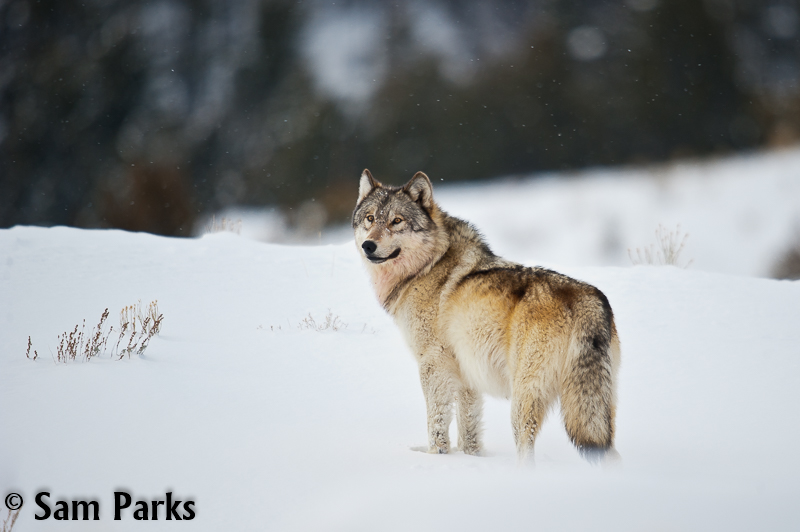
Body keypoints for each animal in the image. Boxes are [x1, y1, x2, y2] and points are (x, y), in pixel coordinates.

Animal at [350, 169, 620, 462]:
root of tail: (588, 299)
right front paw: (471, 458)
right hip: (597, 410)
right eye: (370, 218)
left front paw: (436, 455)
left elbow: (437, 420)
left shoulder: (432, 364)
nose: (368, 245)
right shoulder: (467, 374)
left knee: (526, 449)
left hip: (523, 400)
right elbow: (469, 426)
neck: (427, 266)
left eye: (396, 221)